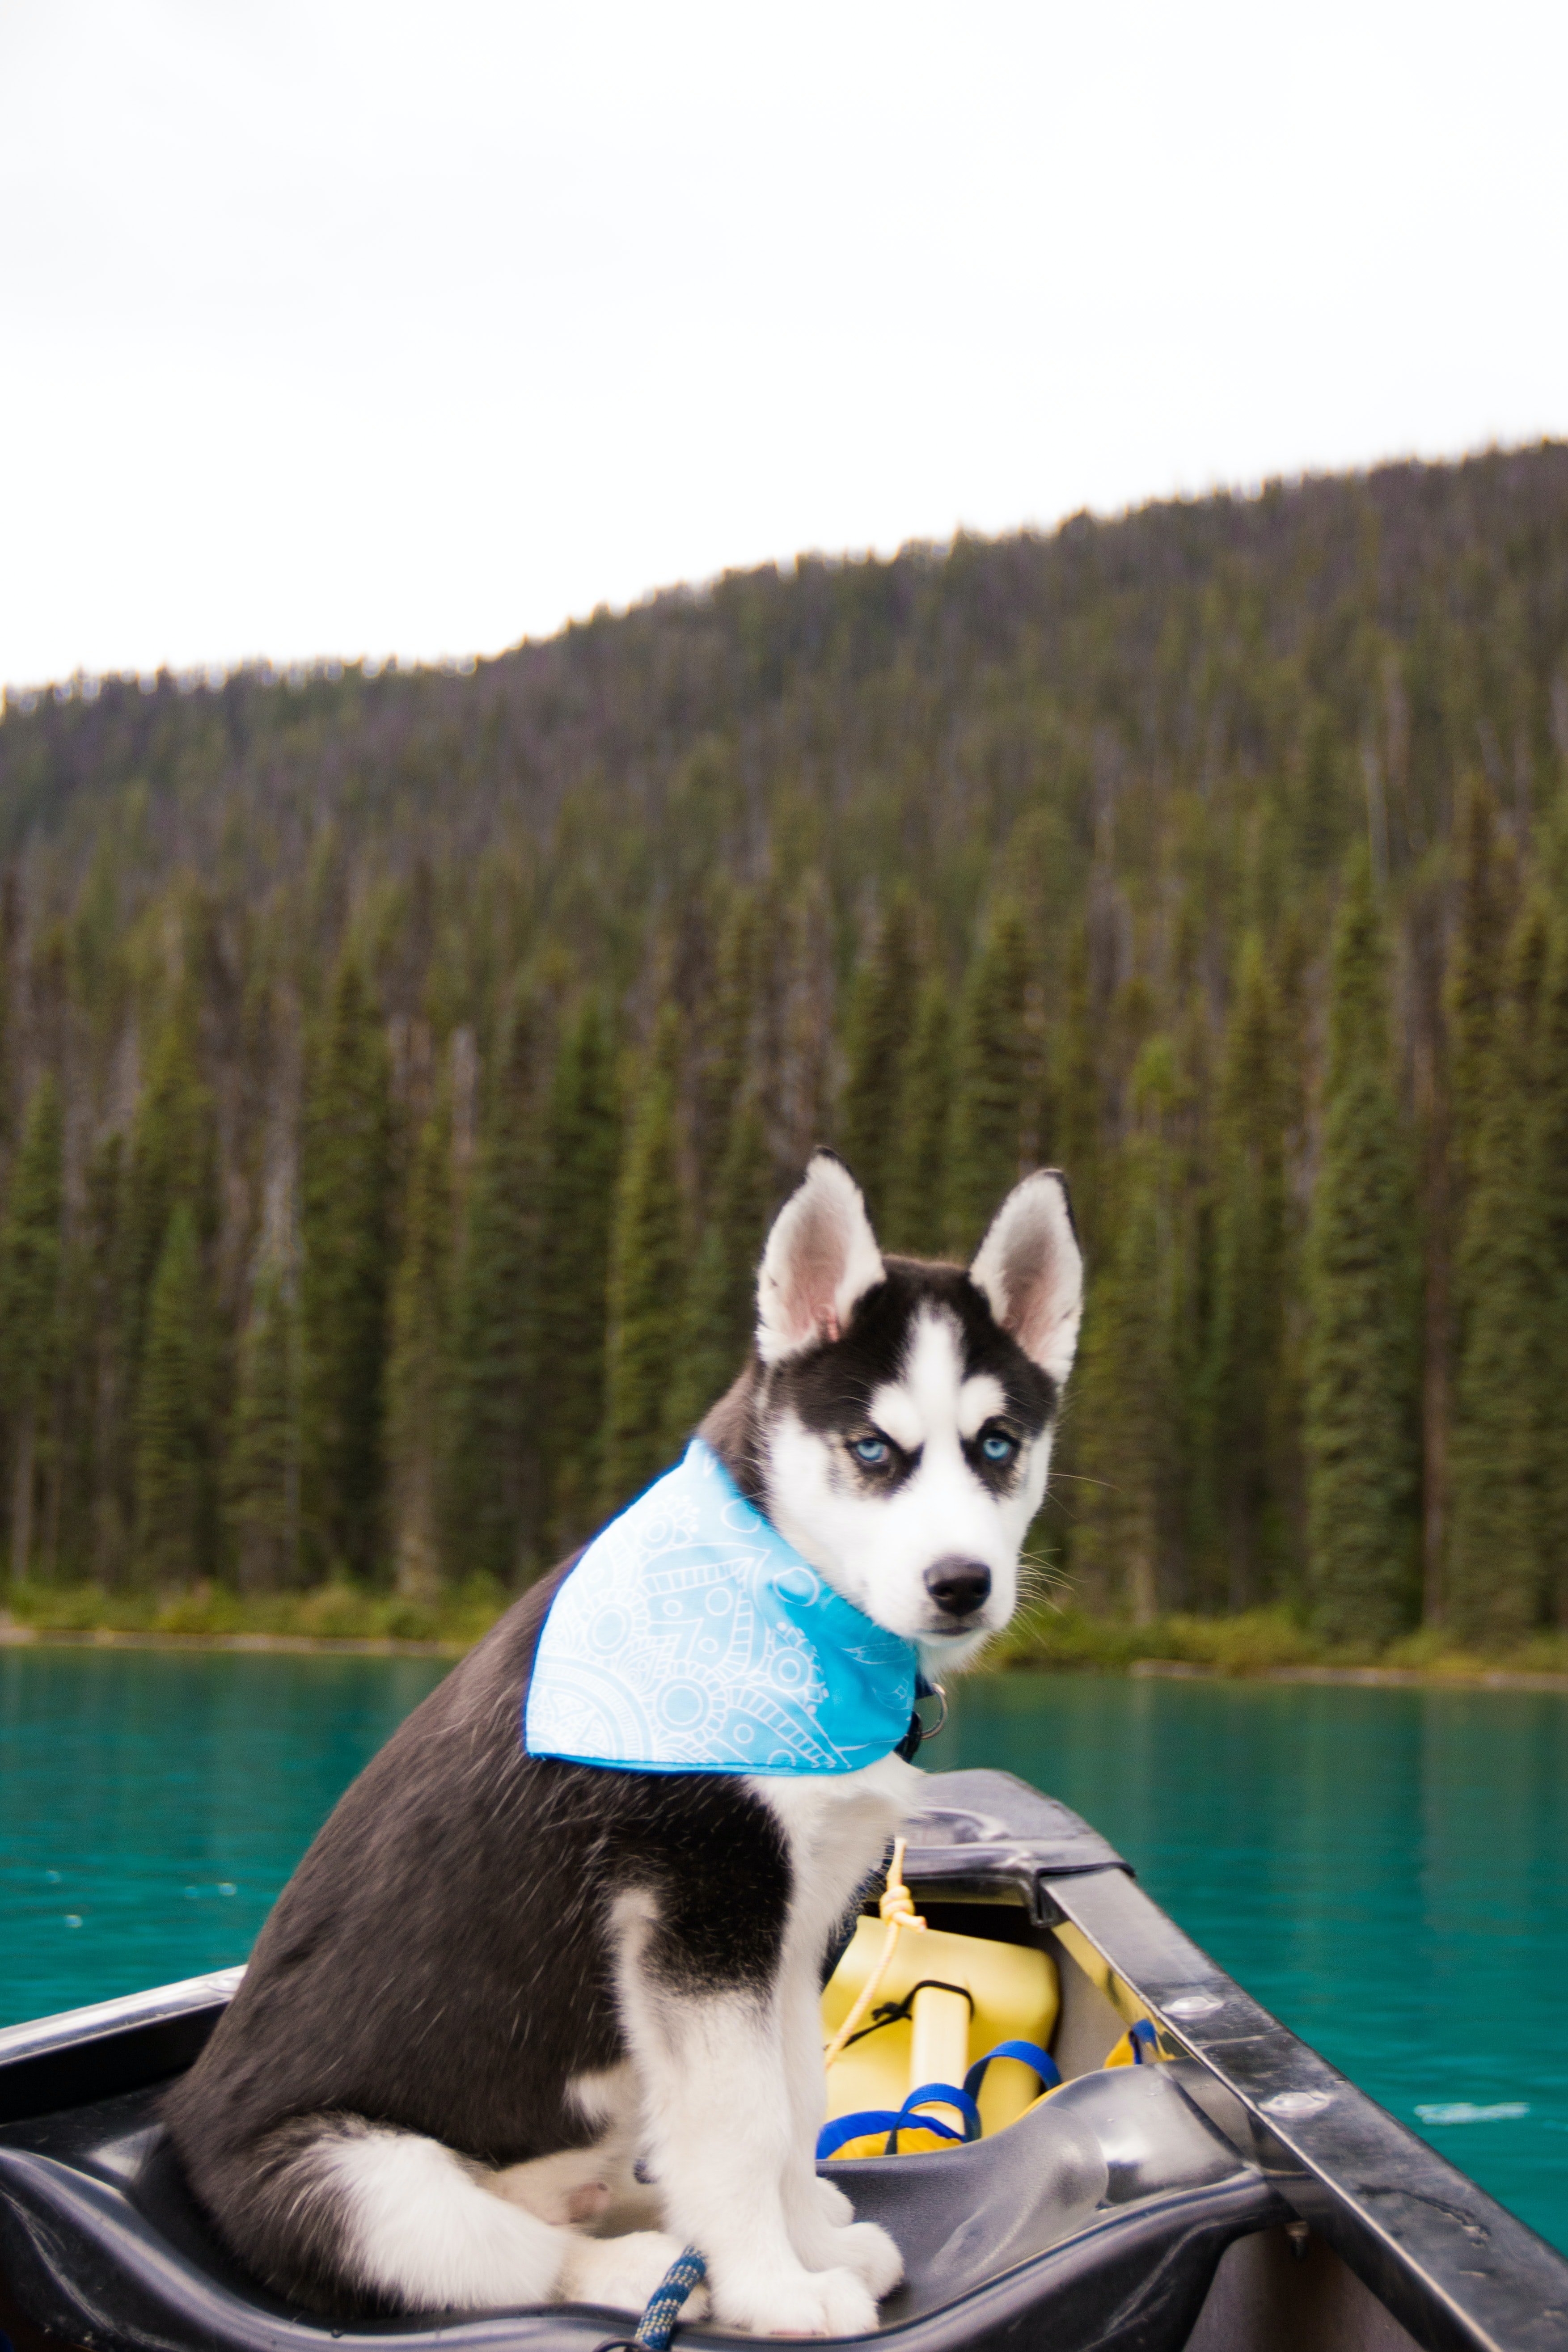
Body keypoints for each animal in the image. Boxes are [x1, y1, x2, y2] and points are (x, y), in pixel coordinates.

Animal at [165, 1152, 1086, 2333]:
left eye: (998, 1445)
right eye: (873, 1448)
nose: (961, 1583)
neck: (782, 1598)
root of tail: (183, 2134)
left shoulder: (786, 1933)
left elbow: (795, 2101)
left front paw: (807, 2240)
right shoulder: (697, 1911)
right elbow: (743, 2128)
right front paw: (775, 2286)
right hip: (361, 2184)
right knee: (513, 2258)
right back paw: (652, 2274)